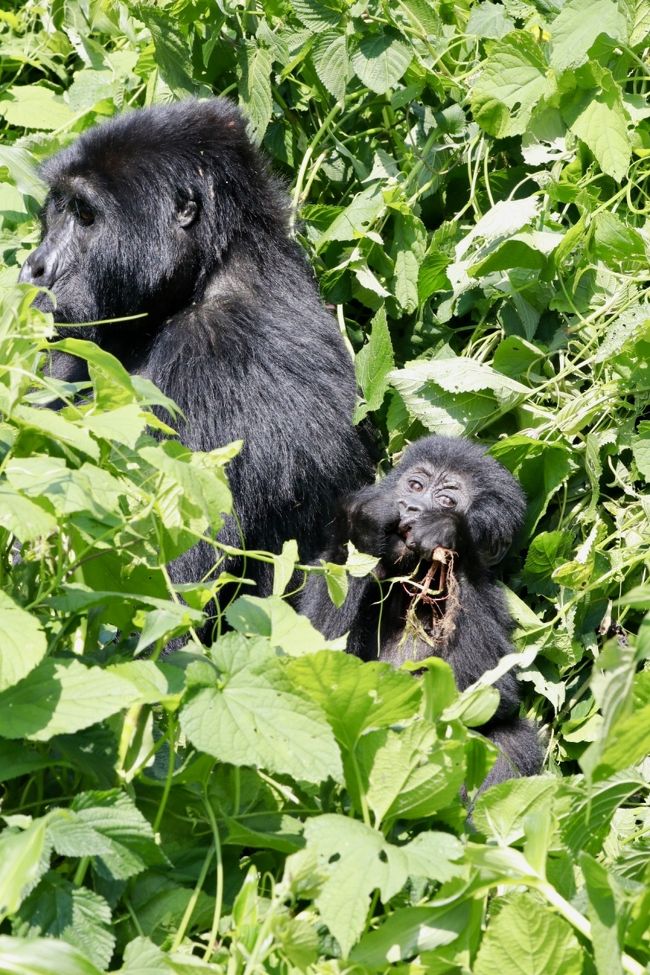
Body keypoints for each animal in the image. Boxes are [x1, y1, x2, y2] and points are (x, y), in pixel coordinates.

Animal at [19, 99, 370, 604]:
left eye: (85, 215)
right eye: (59, 208)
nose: (35, 267)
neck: (209, 266)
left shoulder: (214, 355)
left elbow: (164, 576)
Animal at [300, 438, 540, 788]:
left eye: (446, 500)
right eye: (416, 485)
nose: (410, 506)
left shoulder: (491, 596)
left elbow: (488, 695)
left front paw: (448, 529)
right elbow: (309, 667)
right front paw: (364, 525)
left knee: (506, 739)